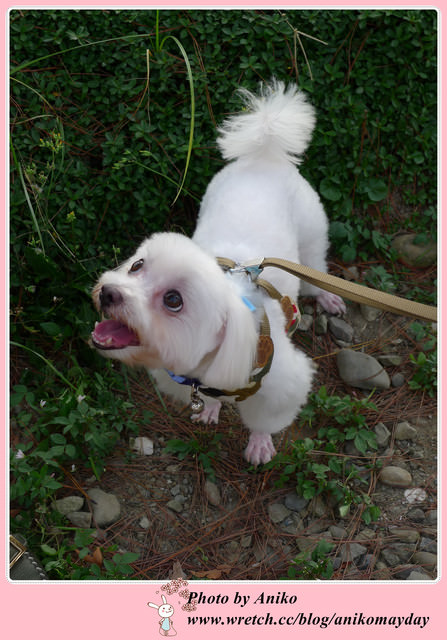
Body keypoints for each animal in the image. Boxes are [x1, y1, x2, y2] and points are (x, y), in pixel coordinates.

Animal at [92, 82, 346, 468]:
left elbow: (265, 418)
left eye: (173, 300)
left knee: (317, 266)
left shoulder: (282, 387)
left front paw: (259, 442)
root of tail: (264, 157)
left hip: (312, 232)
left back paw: (327, 295)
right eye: (137, 265)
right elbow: (208, 398)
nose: (108, 292)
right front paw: (211, 408)